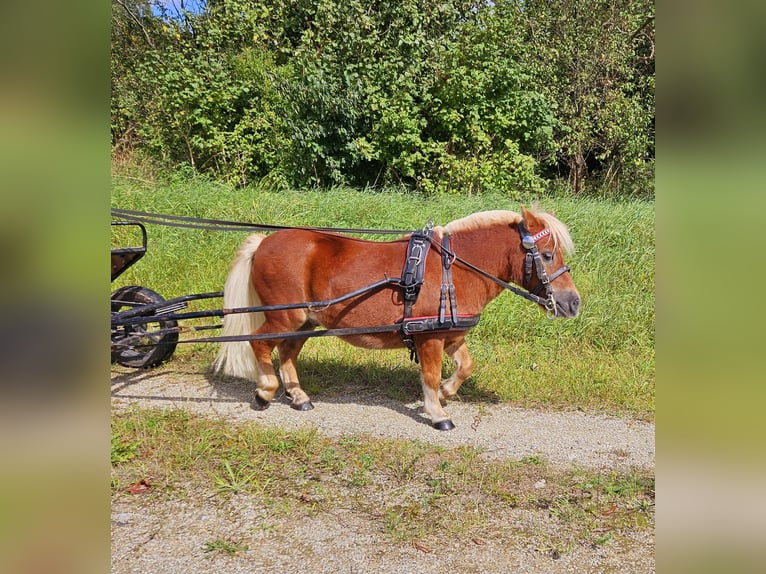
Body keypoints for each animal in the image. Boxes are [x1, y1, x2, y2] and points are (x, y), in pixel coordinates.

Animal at [213, 205, 580, 430]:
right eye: (547, 254)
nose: (573, 303)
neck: (453, 269)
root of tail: (264, 241)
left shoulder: (451, 334)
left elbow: (465, 366)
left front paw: (446, 392)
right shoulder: (429, 337)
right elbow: (430, 375)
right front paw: (437, 412)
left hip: (306, 321)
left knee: (287, 352)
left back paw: (299, 396)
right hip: (285, 317)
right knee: (259, 344)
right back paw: (265, 390)